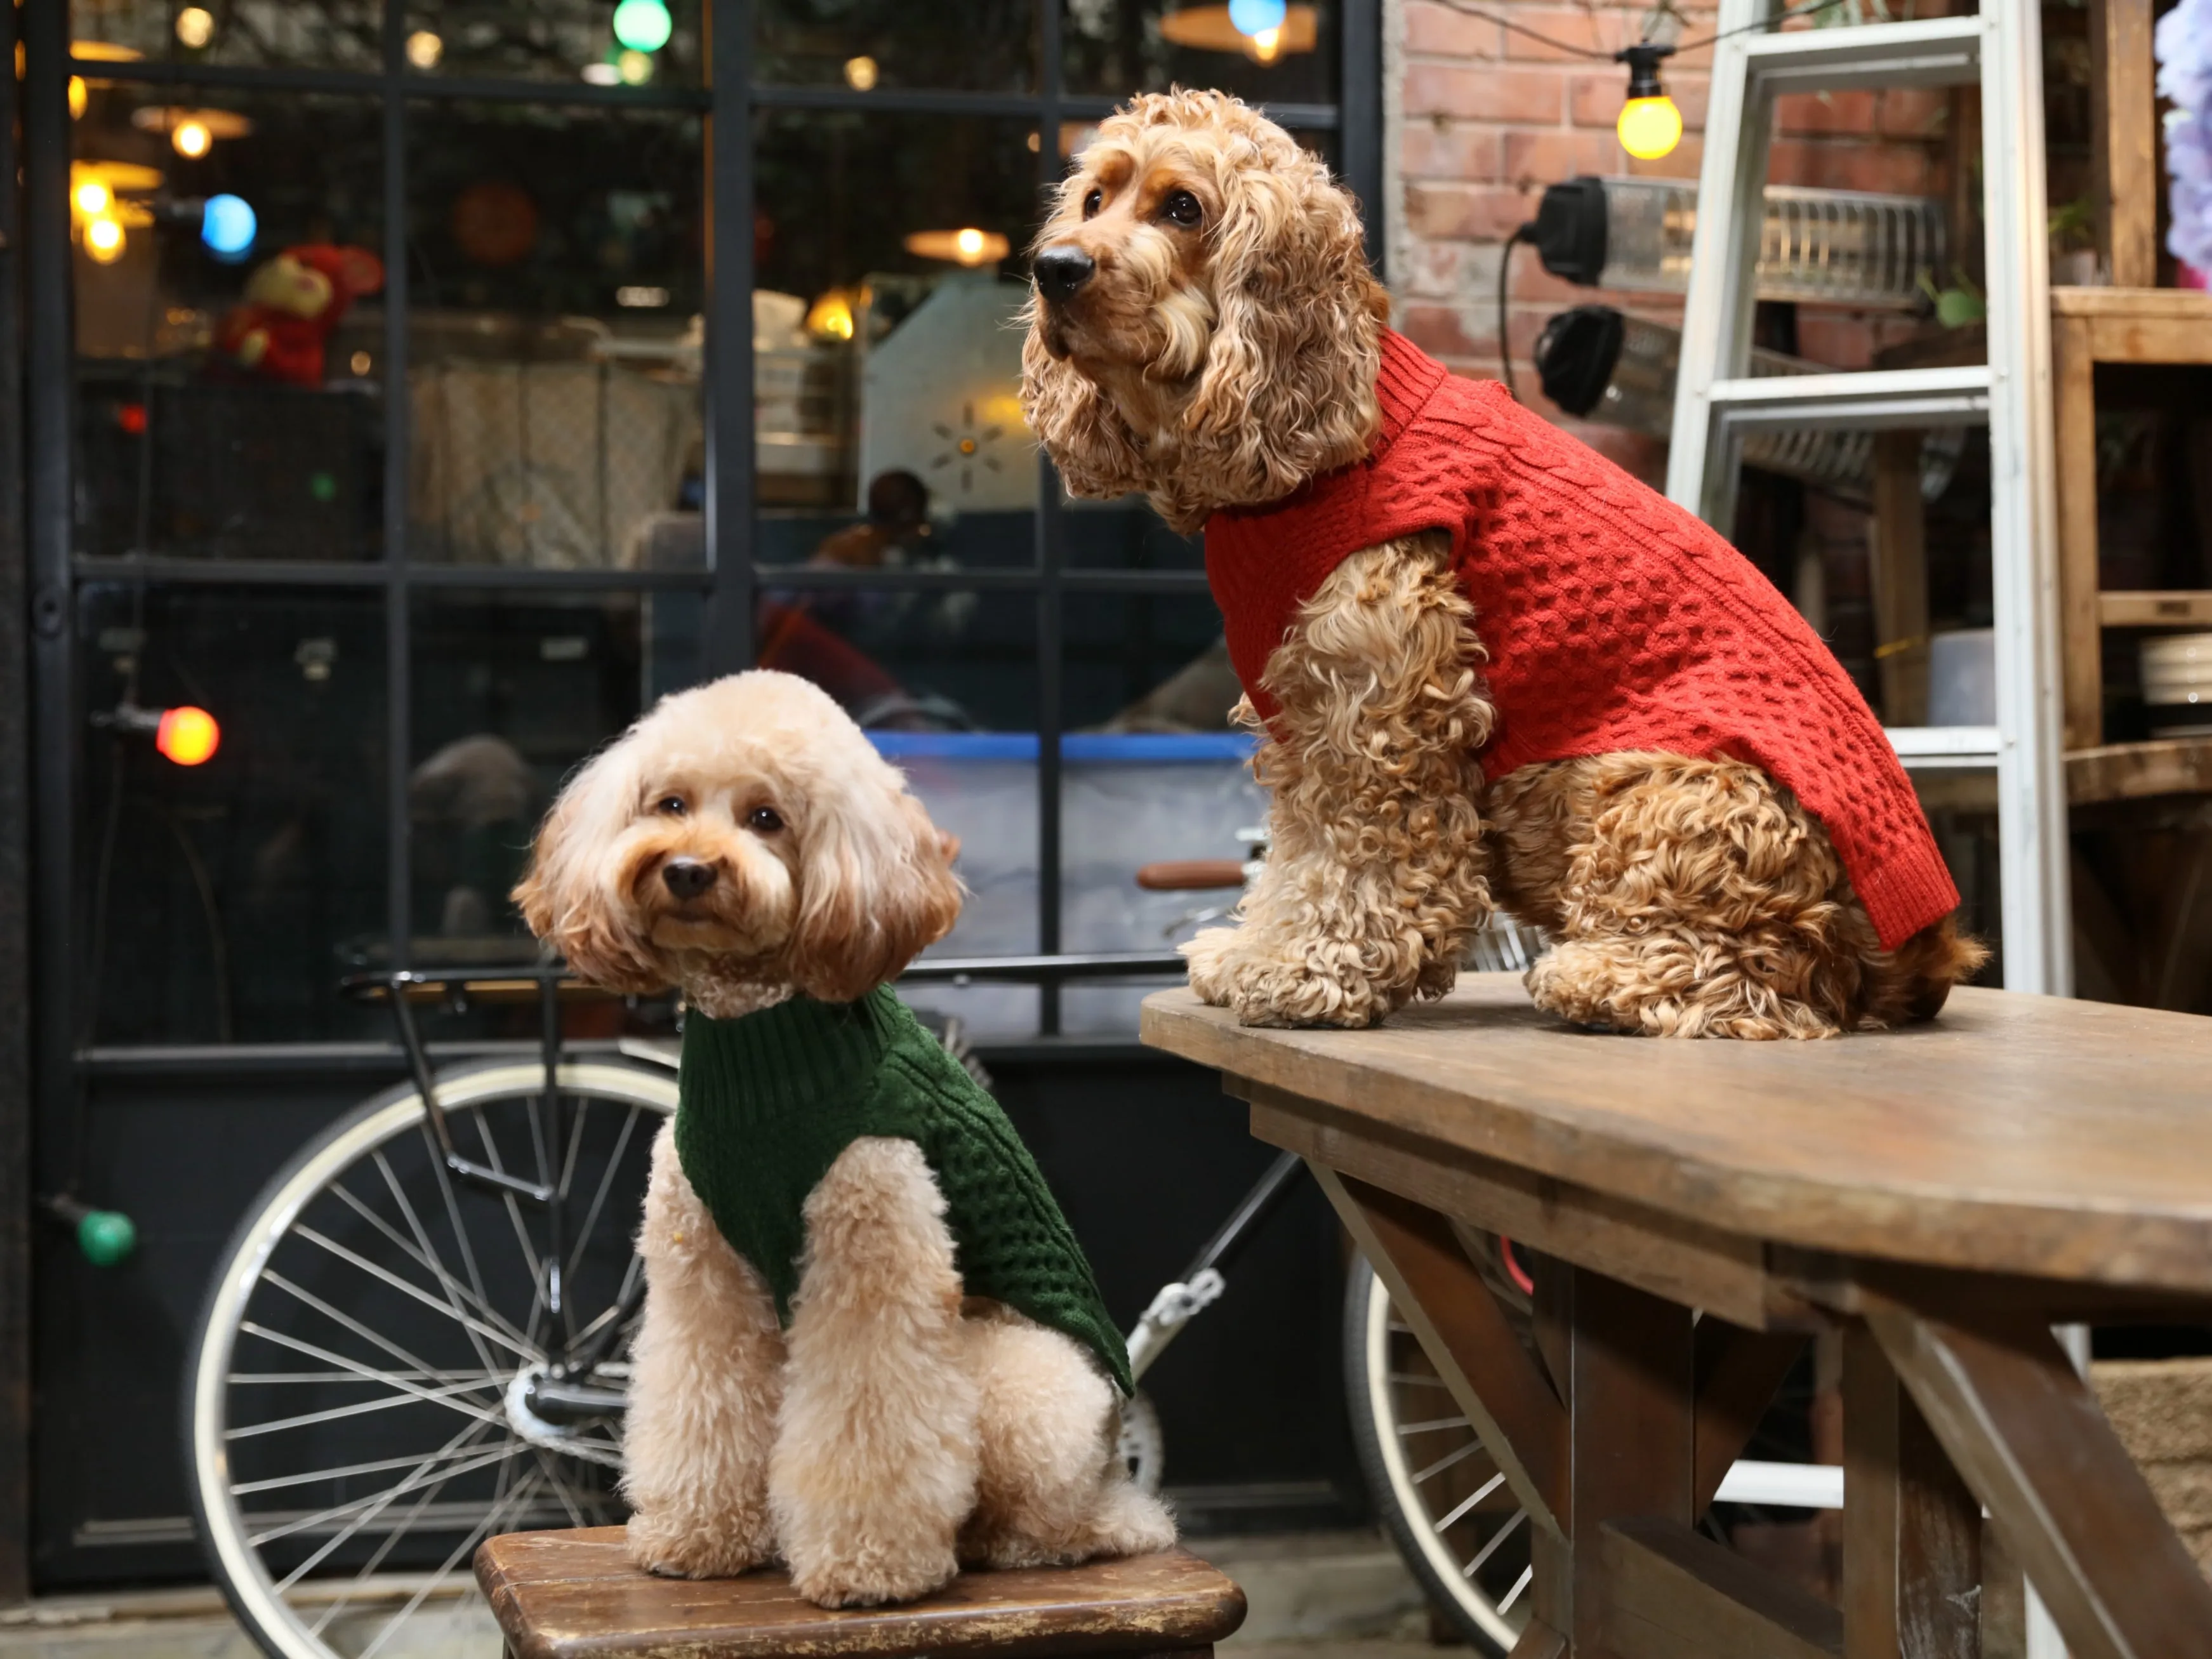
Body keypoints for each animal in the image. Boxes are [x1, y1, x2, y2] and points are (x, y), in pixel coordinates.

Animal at [517, 677, 1177, 1610]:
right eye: (670, 803)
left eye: (766, 817)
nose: (686, 870)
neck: (761, 1039)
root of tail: (1117, 1484)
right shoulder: (704, 1273)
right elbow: (702, 1398)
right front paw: (699, 1534)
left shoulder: (872, 1258)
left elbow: (868, 1420)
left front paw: (869, 1566)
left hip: (1023, 1378)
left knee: (1075, 1519)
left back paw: (1015, 1538)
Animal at [1022, 94, 1990, 1040]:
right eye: (1094, 198)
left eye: (1183, 208)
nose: (1051, 268)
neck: (1328, 428)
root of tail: (1928, 948)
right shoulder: (1302, 708)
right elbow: (1295, 853)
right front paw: (1256, 948)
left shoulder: (1380, 704)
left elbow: (1362, 857)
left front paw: (1312, 972)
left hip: (1652, 785)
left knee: (1758, 982)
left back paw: (1599, 979)